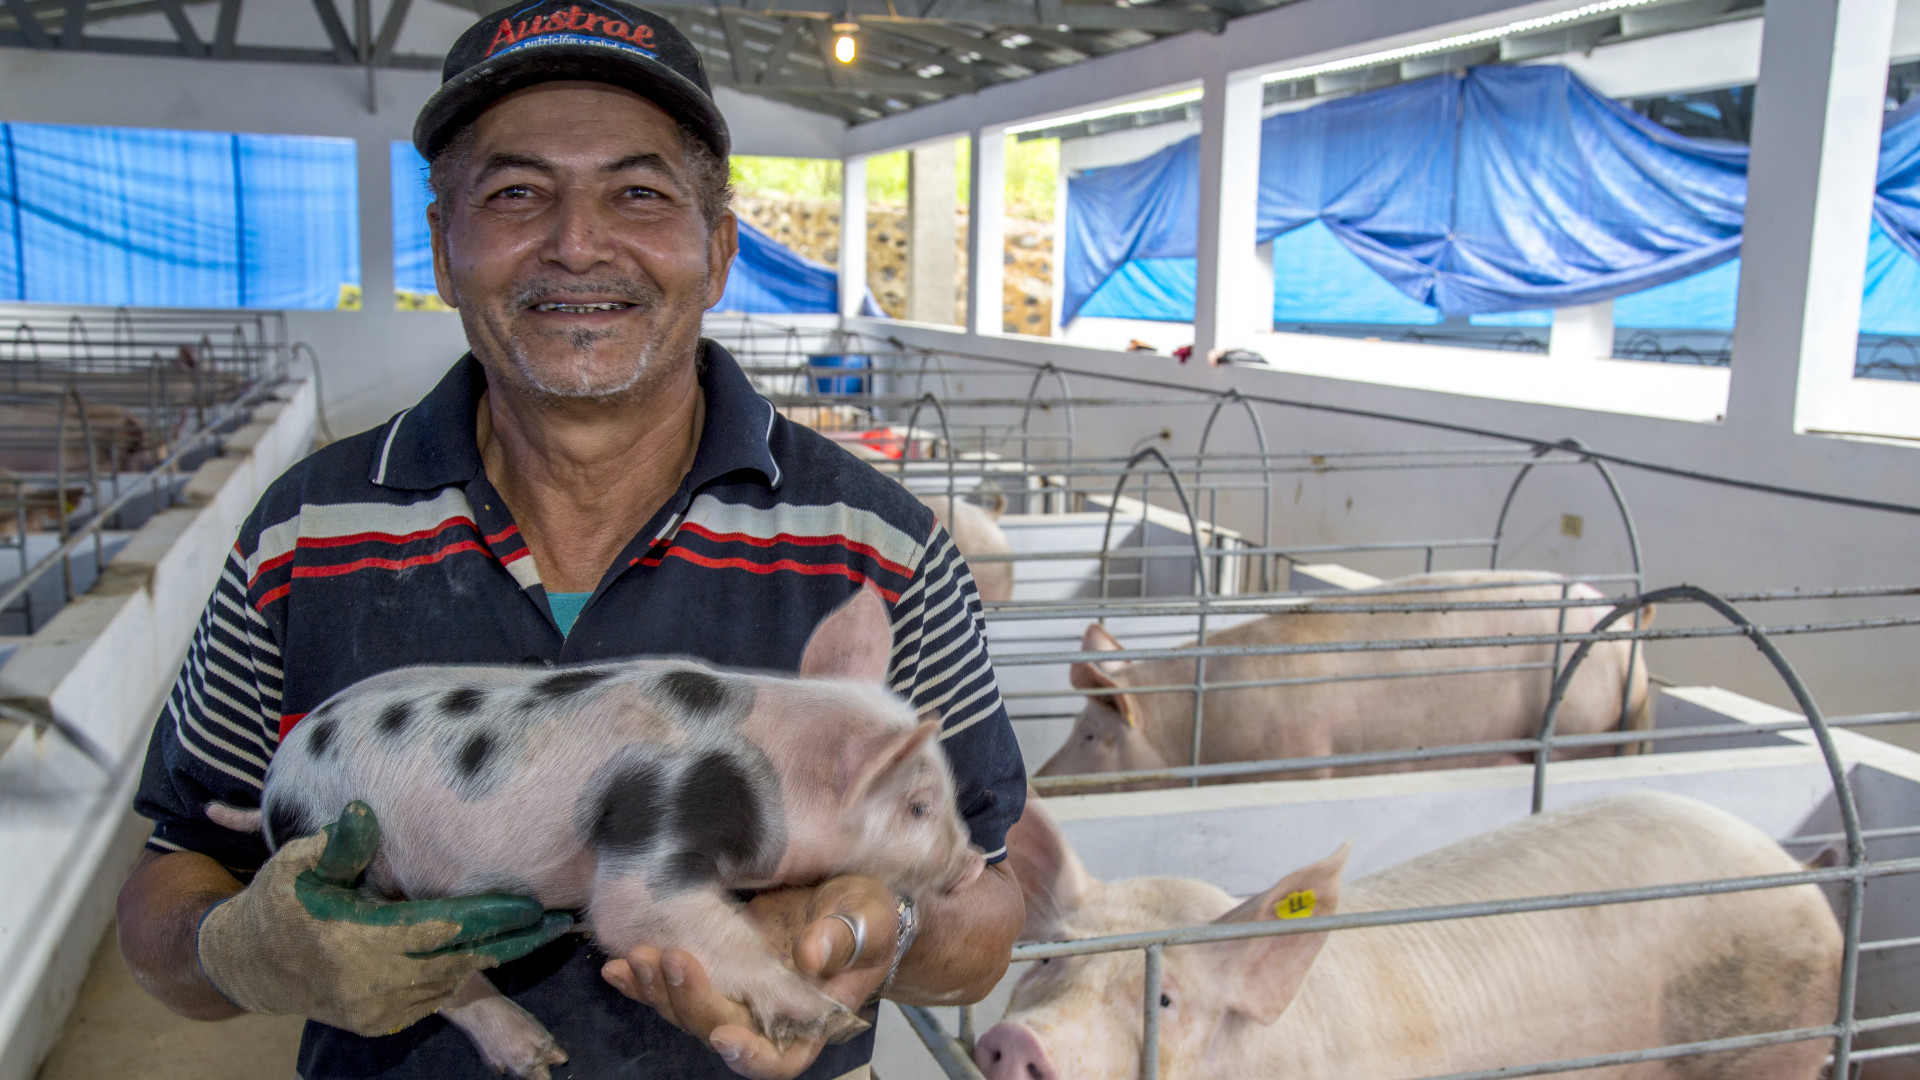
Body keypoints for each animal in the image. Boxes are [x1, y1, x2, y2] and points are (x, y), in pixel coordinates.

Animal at [208, 587, 984, 1079]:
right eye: (918, 807)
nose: (975, 862)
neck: (766, 772)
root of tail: (272, 786)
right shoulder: (657, 814)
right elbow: (630, 912)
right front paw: (829, 1020)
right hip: (353, 862)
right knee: (409, 970)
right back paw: (540, 1059)